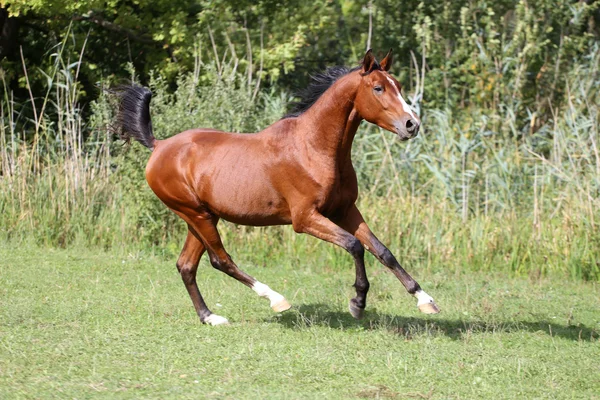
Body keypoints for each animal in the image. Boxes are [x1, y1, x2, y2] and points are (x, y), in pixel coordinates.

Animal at [115, 49, 438, 324]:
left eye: (397, 85)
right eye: (378, 88)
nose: (412, 125)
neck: (313, 147)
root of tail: (159, 145)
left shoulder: (345, 210)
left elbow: (382, 251)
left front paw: (425, 300)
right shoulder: (305, 218)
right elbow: (354, 245)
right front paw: (357, 303)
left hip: (202, 216)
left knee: (186, 265)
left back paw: (210, 317)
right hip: (196, 214)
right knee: (220, 260)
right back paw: (276, 299)